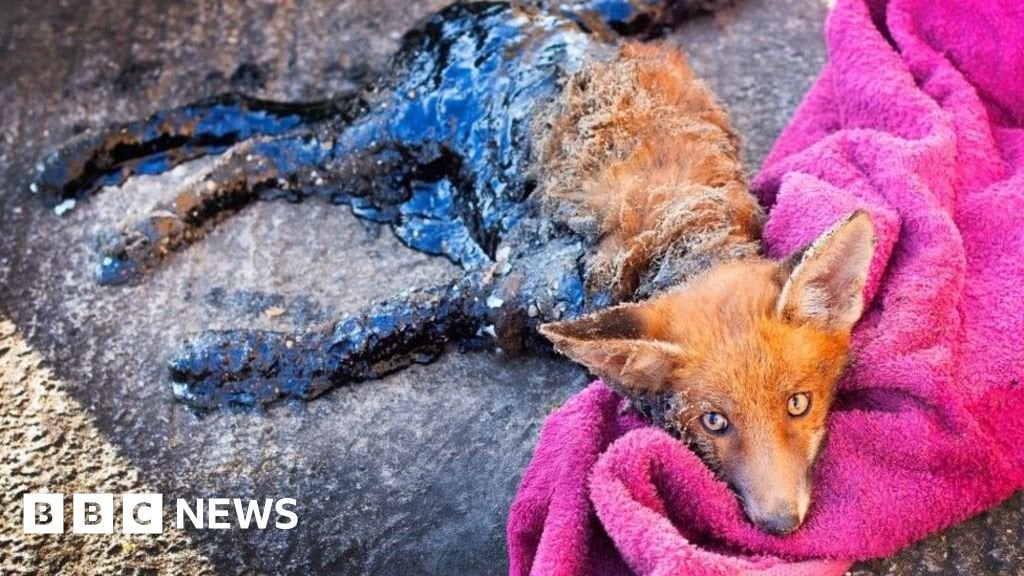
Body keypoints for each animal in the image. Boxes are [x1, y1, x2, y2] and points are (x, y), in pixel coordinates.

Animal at [31, 0, 875, 535]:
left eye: (800, 406)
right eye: (713, 422)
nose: (782, 525)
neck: (673, 242)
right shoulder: (500, 290)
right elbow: (362, 332)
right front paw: (233, 367)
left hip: (386, 175)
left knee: (247, 119)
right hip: (375, 149)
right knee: (256, 146)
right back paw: (133, 218)